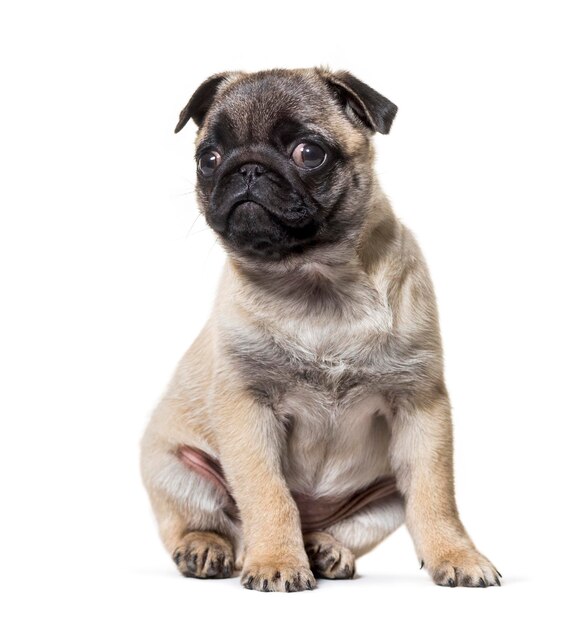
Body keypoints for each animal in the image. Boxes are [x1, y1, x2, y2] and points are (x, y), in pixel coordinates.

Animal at [139, 68, 500, 588]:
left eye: (309, 153)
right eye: (208, 159)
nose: (246, 168)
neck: (313, 281)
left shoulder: (421, 407)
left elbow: (435, 497)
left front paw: (457, 555)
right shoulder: (247, 410)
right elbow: (268, 494)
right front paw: (275, 560)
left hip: (384, 499)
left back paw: (323, 548)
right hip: (173, 468)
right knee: (199, 522)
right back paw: (209, 548)